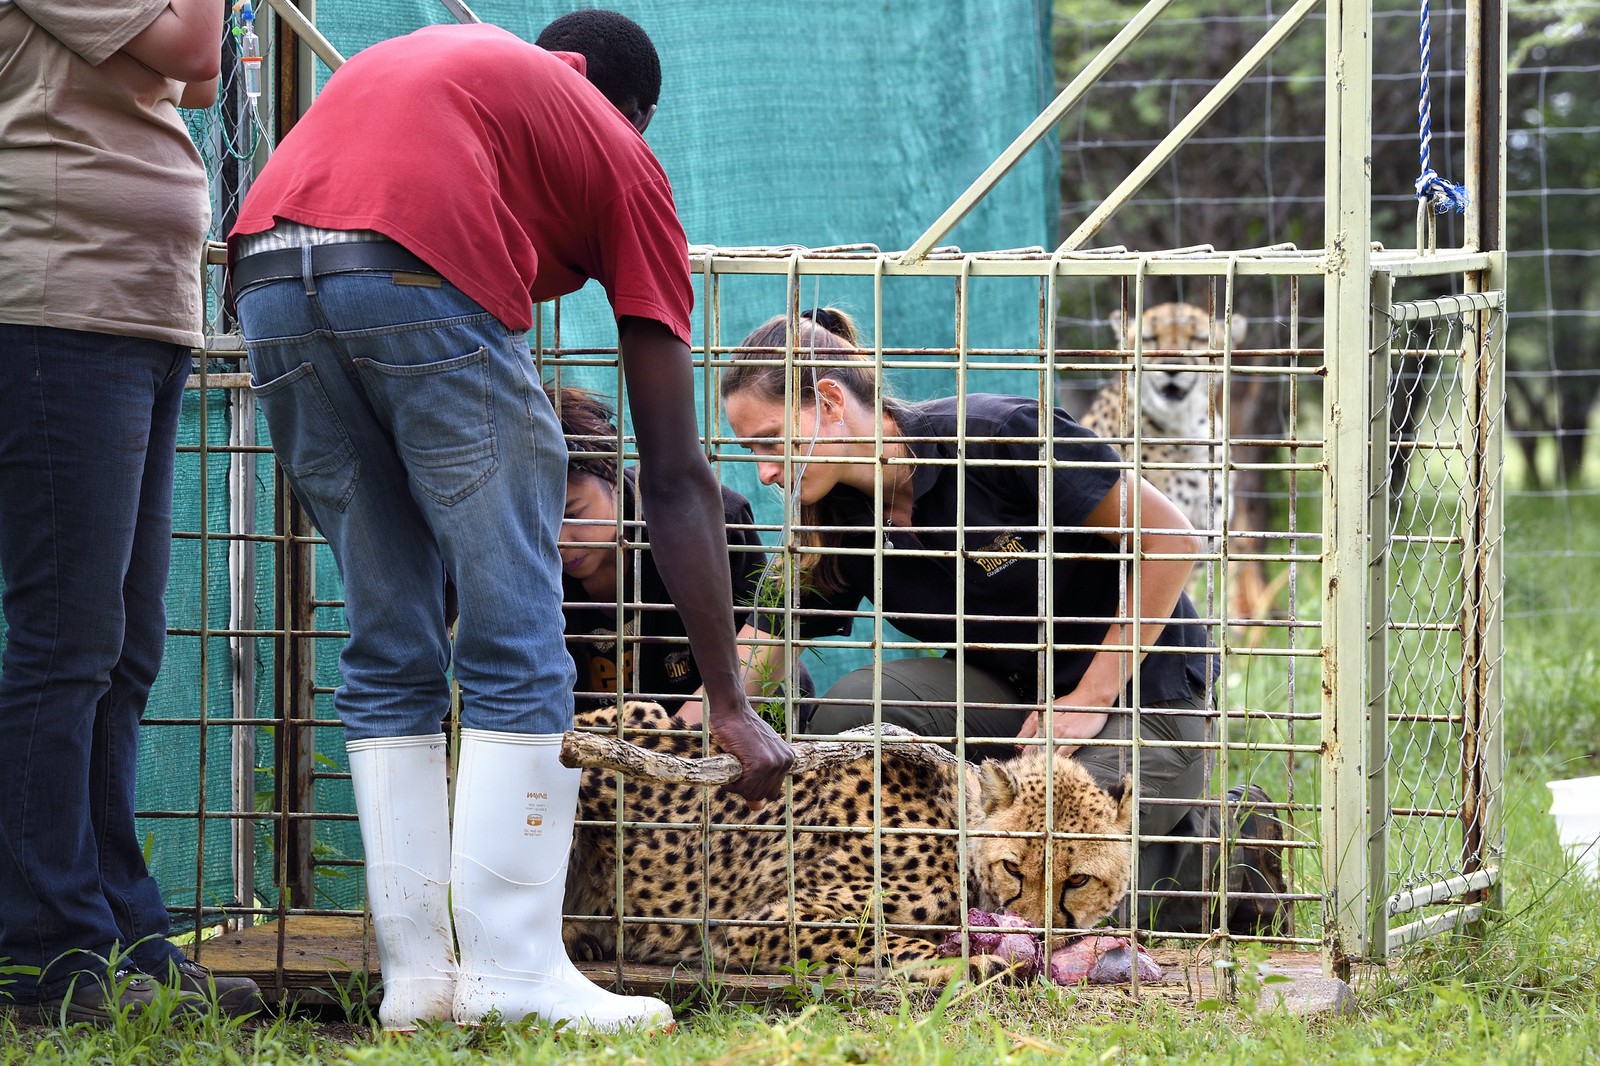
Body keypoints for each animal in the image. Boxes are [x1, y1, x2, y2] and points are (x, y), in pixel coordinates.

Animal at [563, 701, 1134, 983]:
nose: (1036, 932)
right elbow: (884, 939)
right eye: (1014, 868)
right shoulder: (768, 919)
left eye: (1078, 879)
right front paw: (978, 961)